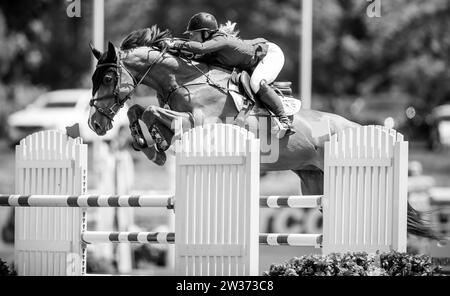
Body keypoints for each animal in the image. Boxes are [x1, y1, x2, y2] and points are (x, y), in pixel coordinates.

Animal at [88, 24, 440, 239]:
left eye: (107, 78)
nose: (95, 124)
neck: (188, 79)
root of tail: (360, 128)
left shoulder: (201, 123)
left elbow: (148, 110)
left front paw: (154, 146)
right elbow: (137, 110)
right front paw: (150, 145)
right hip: (314, 180)